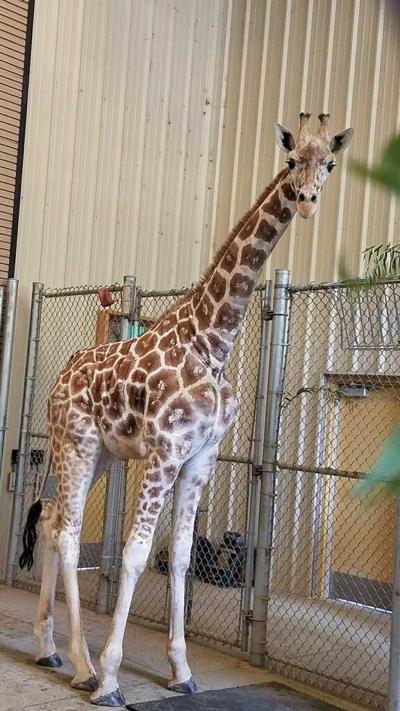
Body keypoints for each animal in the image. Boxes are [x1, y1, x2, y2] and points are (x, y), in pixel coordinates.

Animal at [18, 113, 353, 707]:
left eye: (330, 164)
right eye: (292, 160)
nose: (308, 200)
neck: (212, 341)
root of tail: (59, 377)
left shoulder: (201, 458)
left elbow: (178, 557)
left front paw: (181, 669)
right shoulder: (164, 453)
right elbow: (133, 554)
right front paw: (111, 678)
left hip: (100, 454)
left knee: (55, 520)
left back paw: (50, 648)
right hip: (75, 444)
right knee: (68, 531)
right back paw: (84, 666)